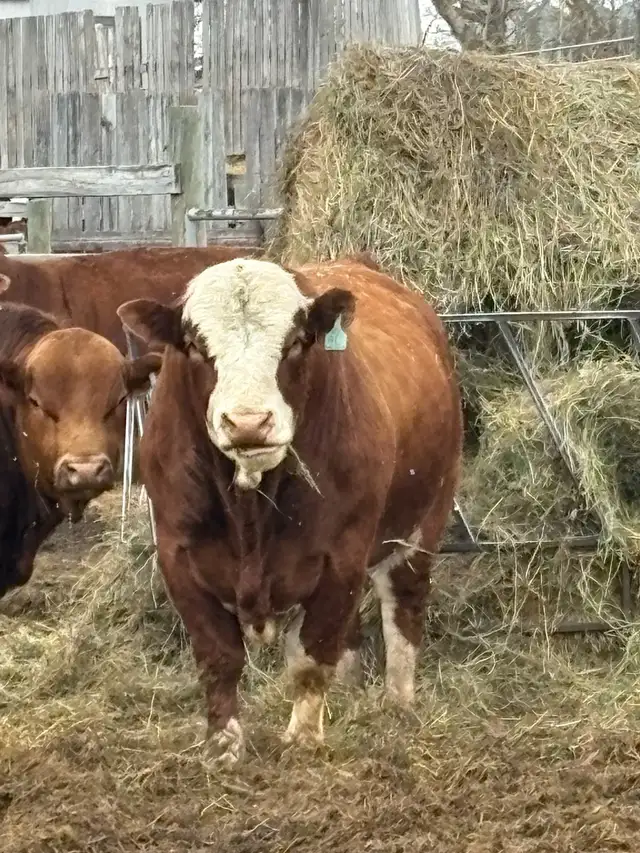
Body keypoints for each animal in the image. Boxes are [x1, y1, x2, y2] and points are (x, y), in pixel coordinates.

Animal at [117, 255, 463, 768]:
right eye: (195, 346)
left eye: (297, 341)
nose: (247, 422)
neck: (249, 509)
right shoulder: (178, 557)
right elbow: (219, 658)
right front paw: (223, 745)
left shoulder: (341, 557)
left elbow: (310, 656)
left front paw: (302, 739)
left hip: (424, 520)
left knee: (403, 605)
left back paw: (398, 702)